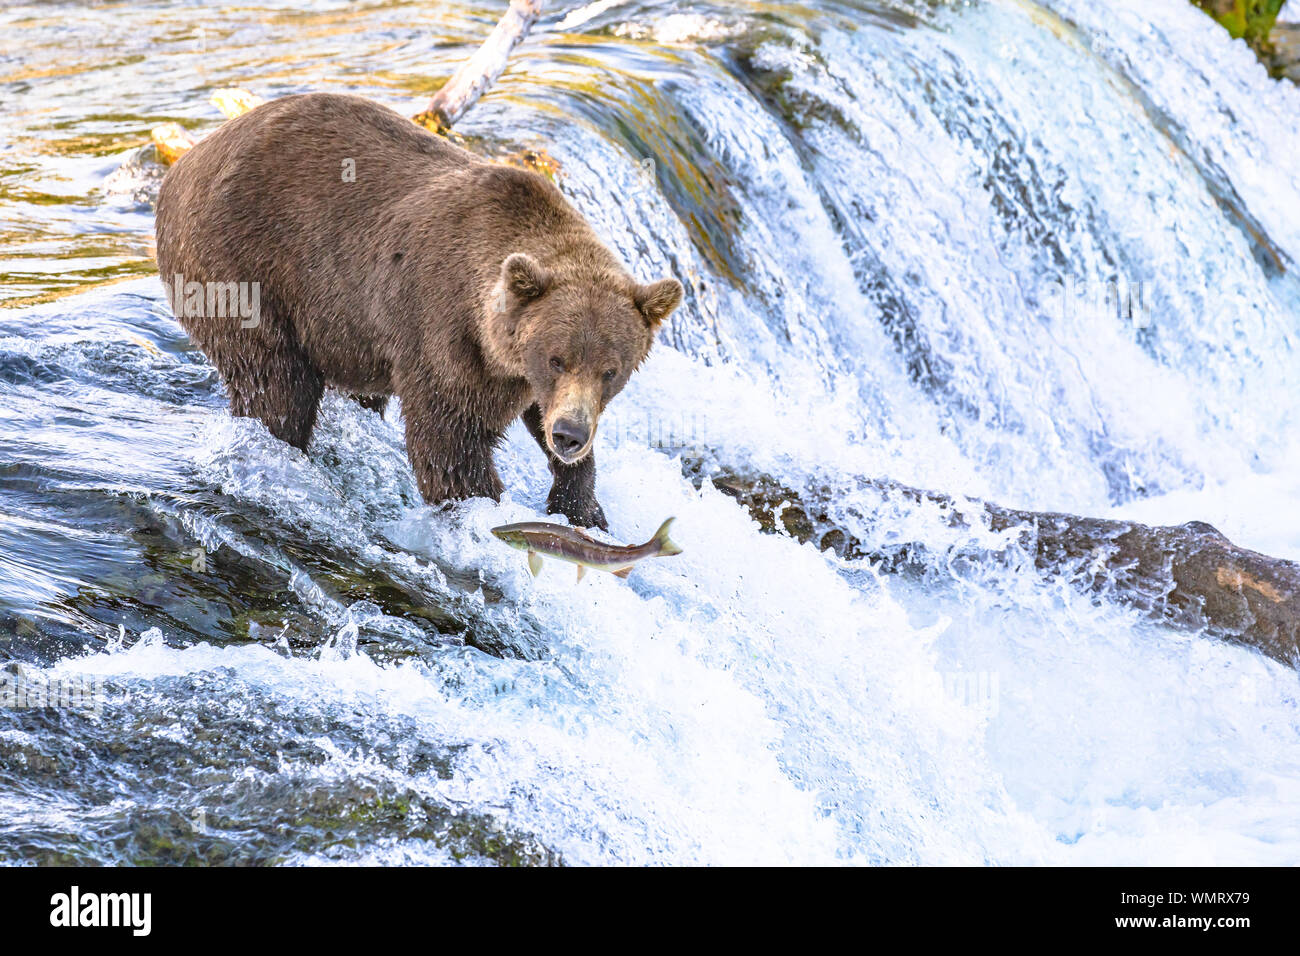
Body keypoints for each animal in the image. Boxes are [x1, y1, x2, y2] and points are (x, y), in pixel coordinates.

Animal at [154, 92, 682, 530]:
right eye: (557, 359)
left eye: (611, 370)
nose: (569, 435)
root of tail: (184, 165)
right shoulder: (443, 333)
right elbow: (449, 445)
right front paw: (483, 510)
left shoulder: (519, 375)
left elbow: (537, 416)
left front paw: (581, 505)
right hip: (240, 266)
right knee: (276, 385)